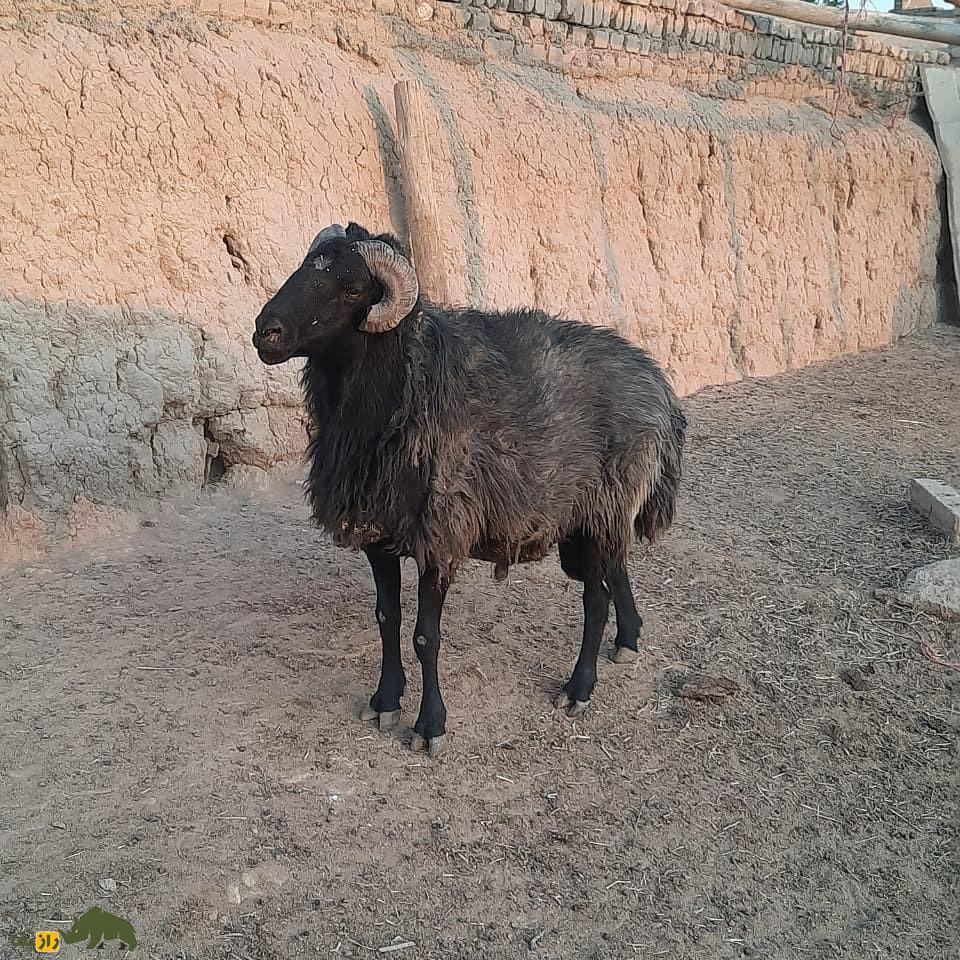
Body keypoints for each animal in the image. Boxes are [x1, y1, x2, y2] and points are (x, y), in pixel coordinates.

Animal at [252, 221, 686, 756]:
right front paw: (384, 702)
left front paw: (429, 726)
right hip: (590, 517)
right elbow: (386, 619)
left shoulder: (439, 535)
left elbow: (425, 637)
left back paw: (579, 688)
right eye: (304, 267)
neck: (408, 386)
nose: (265, 332)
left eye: (351, 288)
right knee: (614, 570)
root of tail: (658, 383)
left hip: (604, 505)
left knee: (596, 598)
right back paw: (628, 641)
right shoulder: (378, 533)